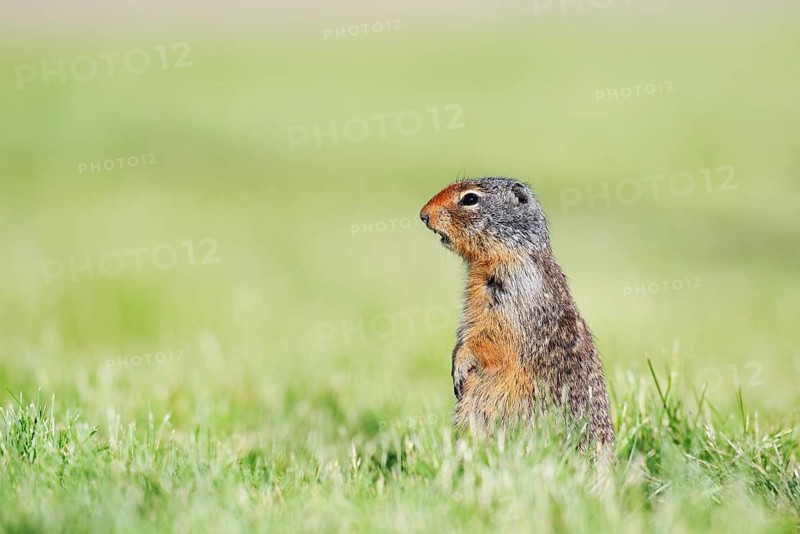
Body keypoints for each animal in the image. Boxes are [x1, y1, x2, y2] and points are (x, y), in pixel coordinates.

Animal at [419, 177, 615, 452]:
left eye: (470, 199)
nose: (423, 215)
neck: (509, 252)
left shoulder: (512, 292)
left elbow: (491, 336)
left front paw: (461, 364)